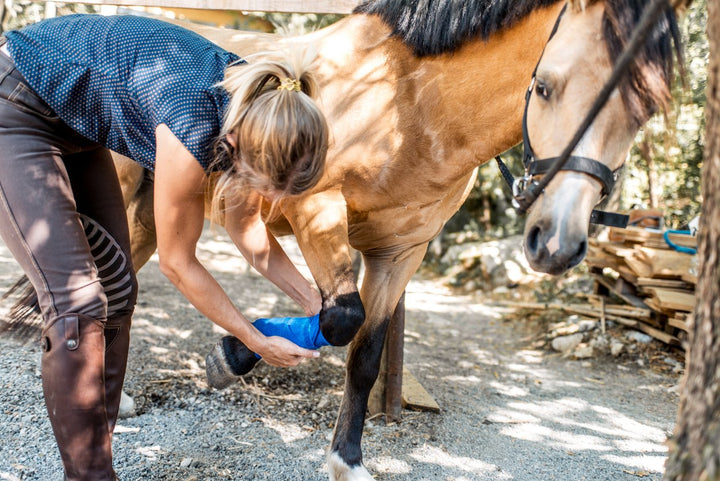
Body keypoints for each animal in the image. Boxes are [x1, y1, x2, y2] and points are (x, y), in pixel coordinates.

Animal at [112, 0, 684, 479]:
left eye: (645, 110)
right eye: (543, 86)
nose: (557, 243)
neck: (404, 102)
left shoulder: (401, 253)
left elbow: (363, 353)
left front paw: (346, 460)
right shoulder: (315, 210)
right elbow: (340, 319)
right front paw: (233, 354)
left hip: (148, 216)